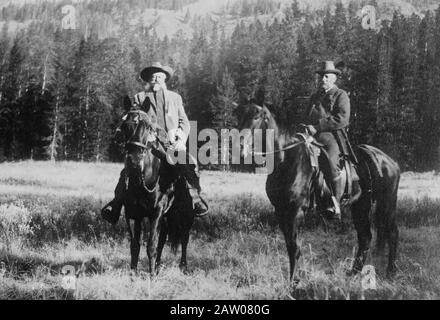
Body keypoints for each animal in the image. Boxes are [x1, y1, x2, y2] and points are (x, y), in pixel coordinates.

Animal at [239, 102, 400, 280]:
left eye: (256, 117)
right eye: (240, 115)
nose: (240, 145)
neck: (286, 160)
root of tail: (390, 161)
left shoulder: (295, 211)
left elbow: (294, 248)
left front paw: (293, 282)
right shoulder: (280, 211)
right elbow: (289, 247)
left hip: (387, 203)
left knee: (393, 232)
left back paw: (391, 271)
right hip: (361, 205)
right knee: (365, 237)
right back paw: (354, 272)